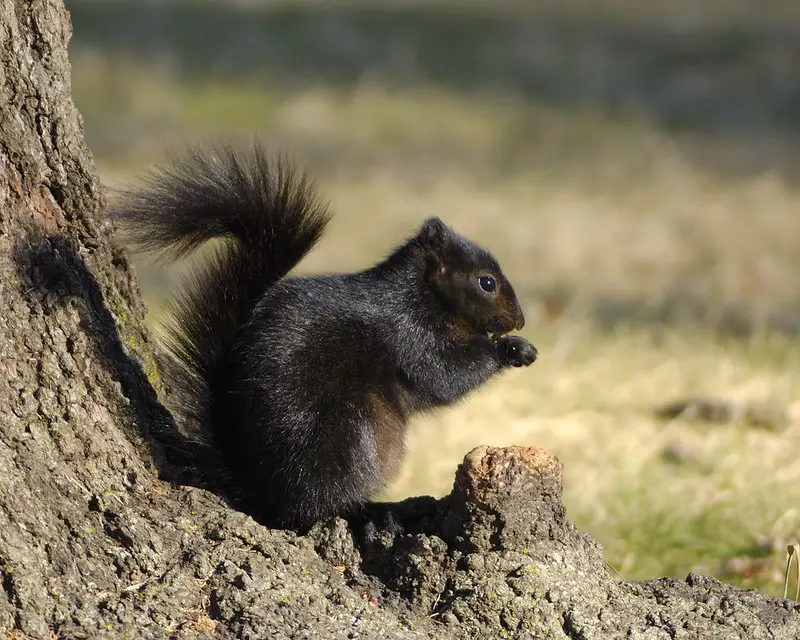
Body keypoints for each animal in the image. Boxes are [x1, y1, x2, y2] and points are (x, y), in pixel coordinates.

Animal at [112, 141, 537, 530]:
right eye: (486, 282)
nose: (518, 321)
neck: (422, 296)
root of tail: (258, 487)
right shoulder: (408, 335)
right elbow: (446, 375)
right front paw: (511, 349)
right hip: (344, 437)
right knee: (315, 506)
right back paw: (371, 513)